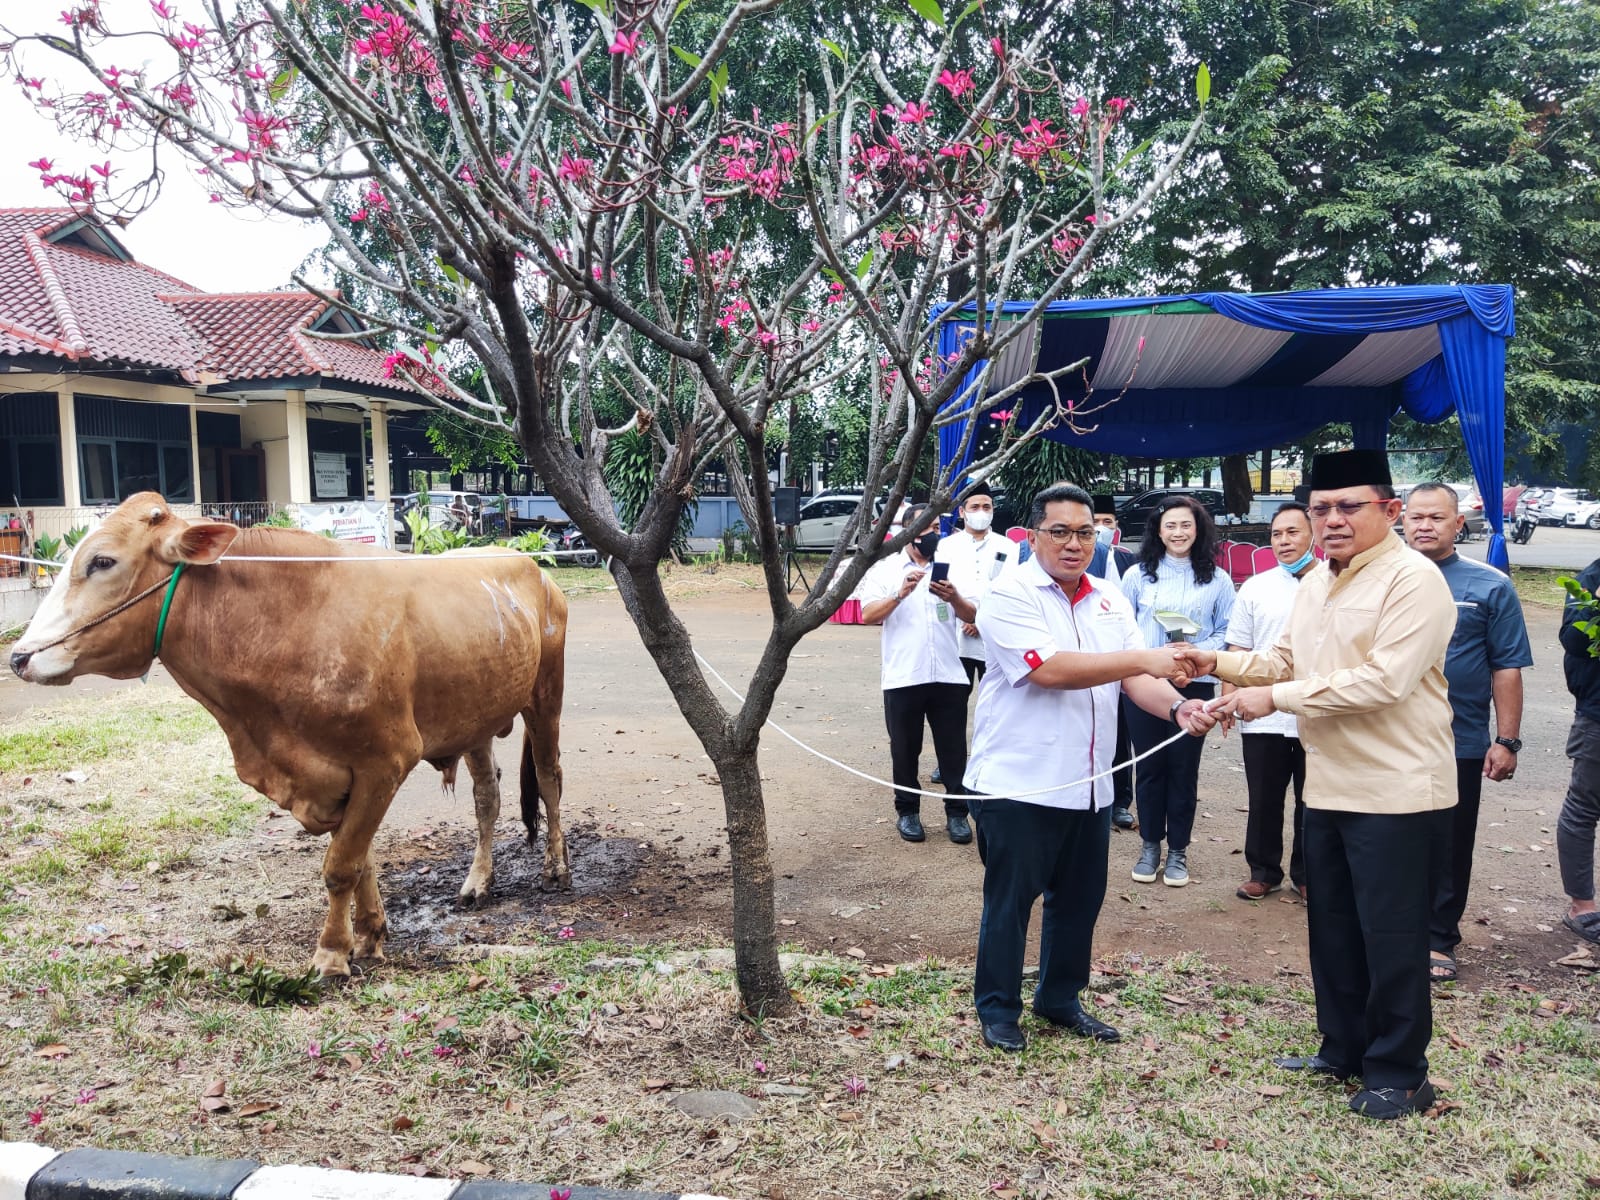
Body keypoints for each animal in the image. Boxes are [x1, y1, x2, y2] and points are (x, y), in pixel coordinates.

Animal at [6, 496, 566, 979]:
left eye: (102, 561)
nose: (18, 657)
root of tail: (534, 568)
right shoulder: (340, 777)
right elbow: (361, 860)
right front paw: (369, 934)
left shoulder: (385, 762)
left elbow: (341, 865)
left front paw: (332, 955)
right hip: (475, 721)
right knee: (487, 797)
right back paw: (477, 882)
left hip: (545, 697)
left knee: (549, 779)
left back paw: (556, 868)